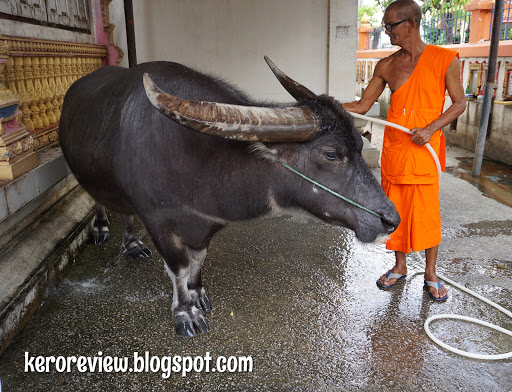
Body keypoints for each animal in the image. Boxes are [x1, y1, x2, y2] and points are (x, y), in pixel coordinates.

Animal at [60, 58, 400, 336]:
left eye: (360, 144)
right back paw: (102, 229)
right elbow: (178, 266)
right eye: (331, 154)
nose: (390, 220)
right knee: (97, 198)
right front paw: (185, 312)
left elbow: (197, 259)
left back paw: (131, 243)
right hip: (81, 172)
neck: (197, 158)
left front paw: (197, 293)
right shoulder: (158, 222)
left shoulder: (206, 224)